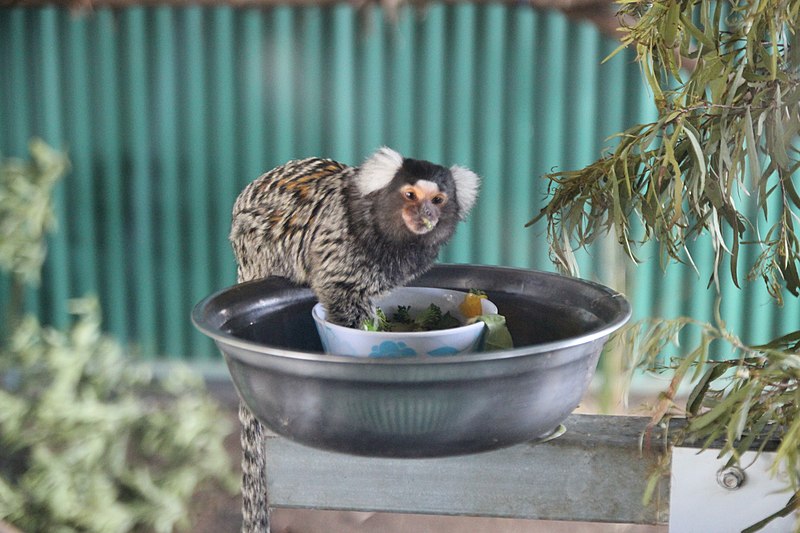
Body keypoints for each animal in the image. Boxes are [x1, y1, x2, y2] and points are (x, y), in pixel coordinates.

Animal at [228, 147, 478, 532]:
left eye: (438, 199)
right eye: (410, 195)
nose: (427, 215)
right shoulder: (341, 245)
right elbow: (340, 292)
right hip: (256, 241)